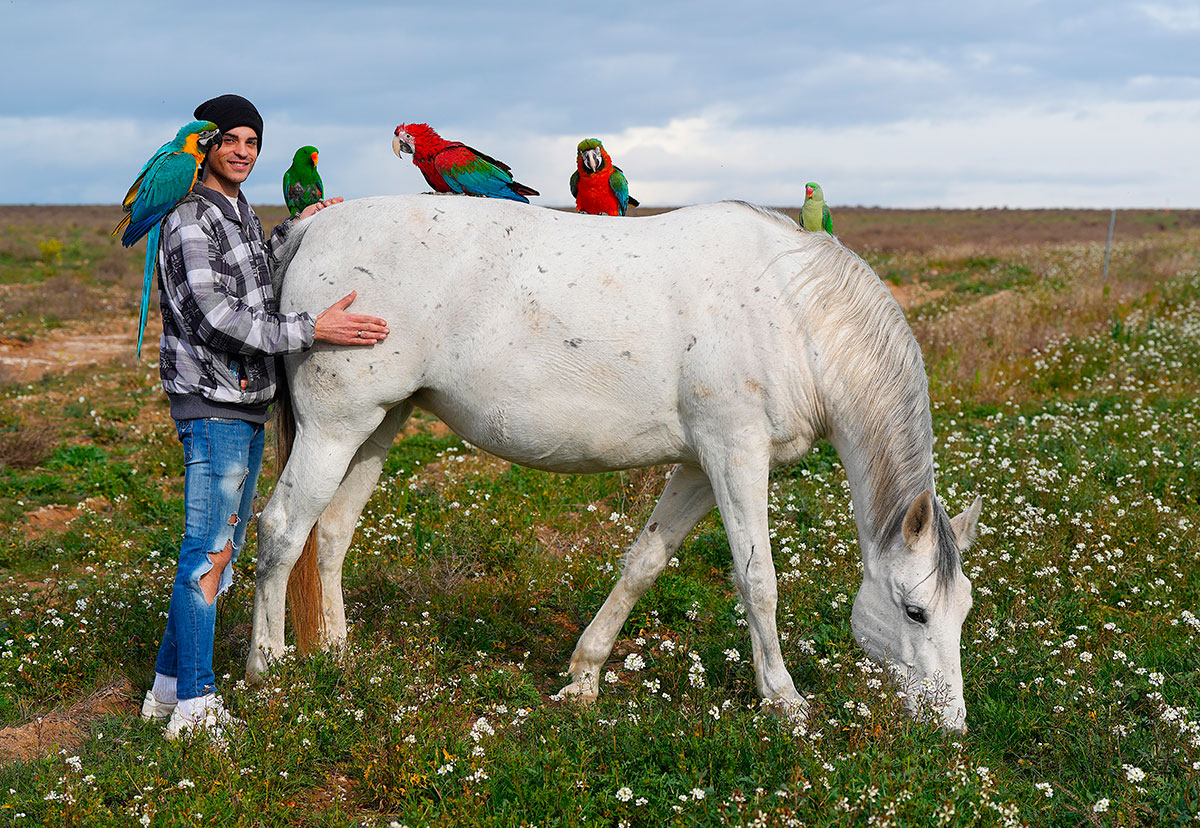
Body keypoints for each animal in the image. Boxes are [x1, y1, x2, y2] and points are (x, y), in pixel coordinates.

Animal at [246, 195, 984, 729]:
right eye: (916, 612)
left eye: (964, 612)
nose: (951, 724)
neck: (796, 315)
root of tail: (315, 226)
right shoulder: (737, 455)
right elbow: (758, 580)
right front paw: (783, 699)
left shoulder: (700, 466)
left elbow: (644, 562)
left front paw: (584, 676)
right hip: (334, 428)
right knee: (281, 529)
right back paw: (266, 670)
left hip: (378, 425)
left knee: (332, 531)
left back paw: (337, 654)